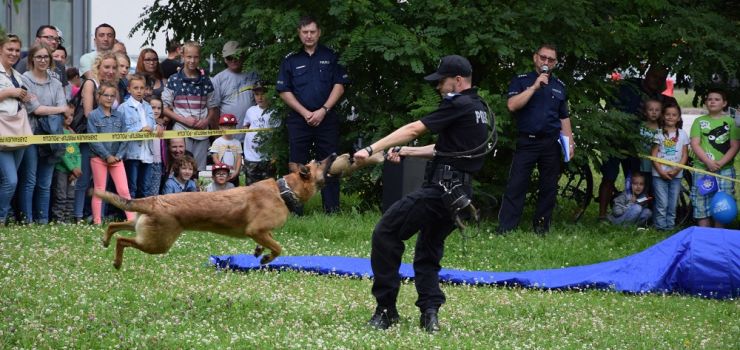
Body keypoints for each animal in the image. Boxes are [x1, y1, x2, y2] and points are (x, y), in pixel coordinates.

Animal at [94, 157, 334, 270]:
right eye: (320, 162)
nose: (334, 153)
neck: (284, 190)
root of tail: (153, 201)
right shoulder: (255, 229)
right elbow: (277, 247)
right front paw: (266, 257)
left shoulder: (262, 232)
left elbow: (270, 241)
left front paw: (259, 251)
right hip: (157, 243)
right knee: (122, 240)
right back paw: (117, 262)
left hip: (142, 227)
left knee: (115, 227)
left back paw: (105, 240)